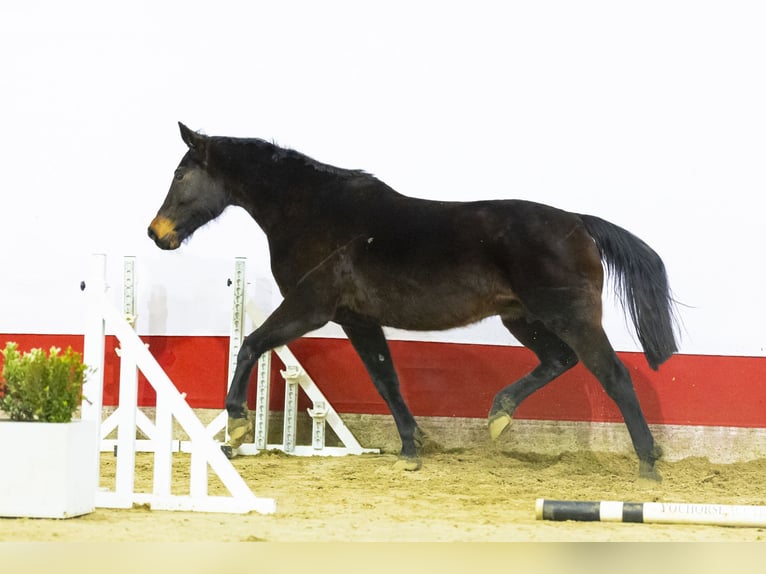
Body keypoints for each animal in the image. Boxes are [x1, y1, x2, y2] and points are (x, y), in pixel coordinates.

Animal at [148, 122, 680, 482]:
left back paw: (647, 464)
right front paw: (411, 446)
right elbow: (386, 379)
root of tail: (578, 222)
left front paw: (237, 424)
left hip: (571, 317)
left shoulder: (310, 307)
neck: (312, 212)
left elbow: (250, 344)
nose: (157, 234)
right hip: (522, 317)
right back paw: (499, 415)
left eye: (180, 175)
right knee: (559, 360)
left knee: (614, 374)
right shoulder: (357, 319)